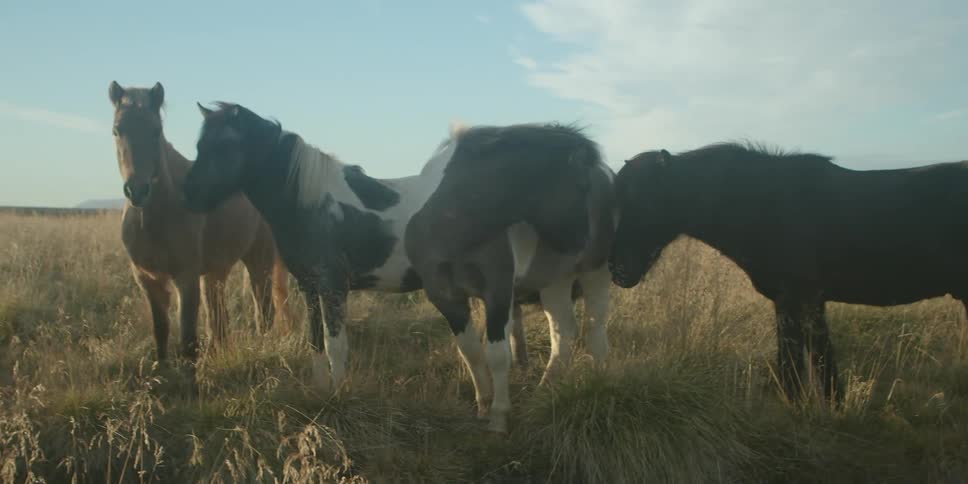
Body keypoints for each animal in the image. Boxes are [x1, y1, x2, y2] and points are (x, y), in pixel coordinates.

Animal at [109, 82, 291, 366]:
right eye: (117, 130)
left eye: (156, 130)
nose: (137, 191)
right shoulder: (148, 280)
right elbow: (161, 330)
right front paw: (162, 370)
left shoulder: (187, 278)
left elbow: (187, 339)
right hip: (216, 272)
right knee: (219, 319)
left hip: (258, 259)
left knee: (263, 312)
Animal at [180, 102, 616, 433]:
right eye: (200, 145)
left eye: (223, 146)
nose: (189, 196)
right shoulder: (311, 286)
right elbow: (316, 345)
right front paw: (321, 392)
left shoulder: (335, 286)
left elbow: (338, 346)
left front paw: (339, 395)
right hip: (556, 284)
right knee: (567, 332)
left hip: (583, 282)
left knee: (591, 332)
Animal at [607, 141, 968, 402]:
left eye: (644, 201)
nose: (618, 269)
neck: (766, 206)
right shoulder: (807, 301)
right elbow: (820, 360)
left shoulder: (795, 298)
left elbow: (793, 365)